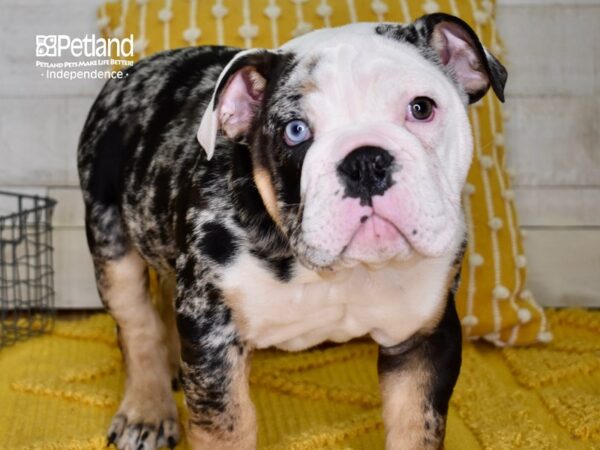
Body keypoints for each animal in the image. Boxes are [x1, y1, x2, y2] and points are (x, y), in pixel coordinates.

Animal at [76, 13, 506, 450]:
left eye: (421, 108)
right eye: (295, 131)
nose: (365, 161)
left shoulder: (424, 339)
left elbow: (416, 428)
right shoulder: (213, 333)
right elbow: (226, 427)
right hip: (109, 237)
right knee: (137, 324)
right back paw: (146, 411)